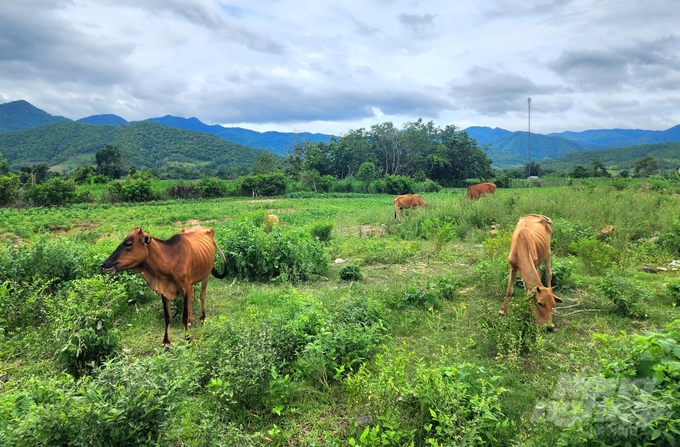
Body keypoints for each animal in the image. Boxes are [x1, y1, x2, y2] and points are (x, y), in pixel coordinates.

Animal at [99, 226, 228, 348]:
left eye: (129, 244)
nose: (103, 265)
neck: (171, 259)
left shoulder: (185, 289)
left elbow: (183, 316)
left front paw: (187, 340)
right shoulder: (164, 291)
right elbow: (167, 317)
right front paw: (166, 341)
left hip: (206, 274)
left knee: (202, 296)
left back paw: (202, 318)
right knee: (192, 298)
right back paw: (191, 321)